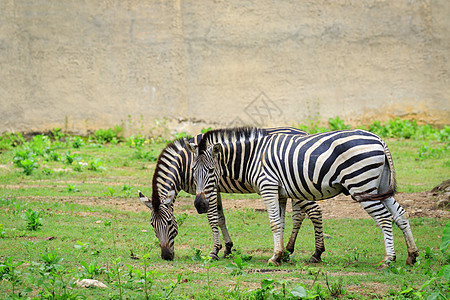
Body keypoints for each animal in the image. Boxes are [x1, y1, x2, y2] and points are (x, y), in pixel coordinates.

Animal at [139, 127, 326, 262]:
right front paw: (228, 247)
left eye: (170, 223)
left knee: (314, 212)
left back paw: (316, 253)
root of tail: (303, 132)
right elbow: (221, 217)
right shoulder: (214, 189)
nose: (166, 256)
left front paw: (214, 251)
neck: (184, 162)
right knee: (299, 215)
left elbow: (213, 218)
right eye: (152, 225)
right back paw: (288, 249)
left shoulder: (210, 188)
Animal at [186, 127, 418, 266]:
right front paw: (280, 255)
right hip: (380, 186)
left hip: (362, 186)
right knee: (400, 214)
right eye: (193, 170)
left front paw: (274, 256)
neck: (253, 157)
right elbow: (280, 223)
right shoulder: (279, 192)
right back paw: (411, 255)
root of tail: (379, 139)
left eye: (210, 171)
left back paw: (388, 259)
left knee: (384, 218)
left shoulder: (268, 187)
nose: (199, 205)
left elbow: (273, 223)